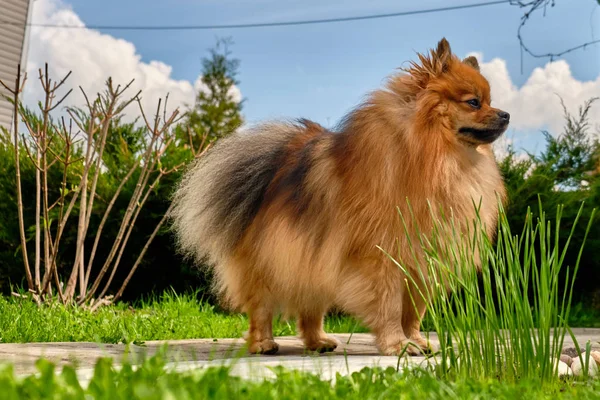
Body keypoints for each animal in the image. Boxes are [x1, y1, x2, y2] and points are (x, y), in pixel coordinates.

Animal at [171, 38, 508, 356]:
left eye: (491, 101)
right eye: (474, 102)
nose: (505, 114)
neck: (435, 154)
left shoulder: (422, 262)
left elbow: (413, 313)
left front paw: (416, 341)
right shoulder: (381, 259)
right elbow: (389, 307)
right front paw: (397, 345)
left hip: (312, 258)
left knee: (310, 308)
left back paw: (317, 341)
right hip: (272, 266)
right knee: (261, 308)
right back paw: (263, 343)